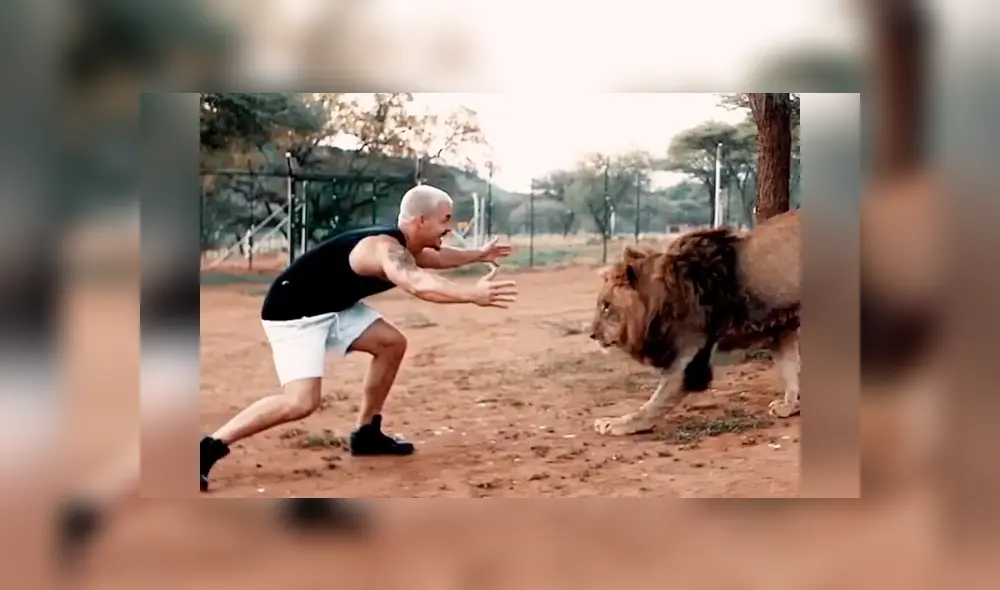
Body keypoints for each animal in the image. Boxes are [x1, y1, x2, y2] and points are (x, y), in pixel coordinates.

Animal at [589, 209, 801, 436]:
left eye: (606, 306)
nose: (592, 334)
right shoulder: (780, 331)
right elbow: (790, 370)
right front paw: (789, 406)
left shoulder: (690, 358)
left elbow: (653, 404)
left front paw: (616, 423)